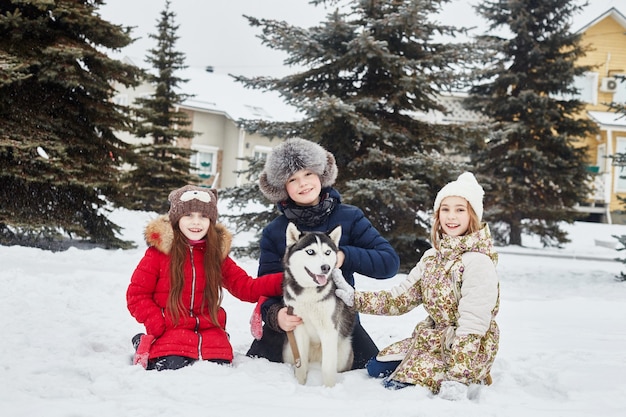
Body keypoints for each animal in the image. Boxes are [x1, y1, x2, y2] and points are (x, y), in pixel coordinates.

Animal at [280, 223, 354, 386]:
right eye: (310, 252)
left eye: (327, 252)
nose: (326, 267)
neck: (309, 294)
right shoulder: (298, 328)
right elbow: (300, 366)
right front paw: (300, 385)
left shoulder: (329, 330)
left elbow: (327, 368)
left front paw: (328, 389)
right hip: (289, 351)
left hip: (343, 352)